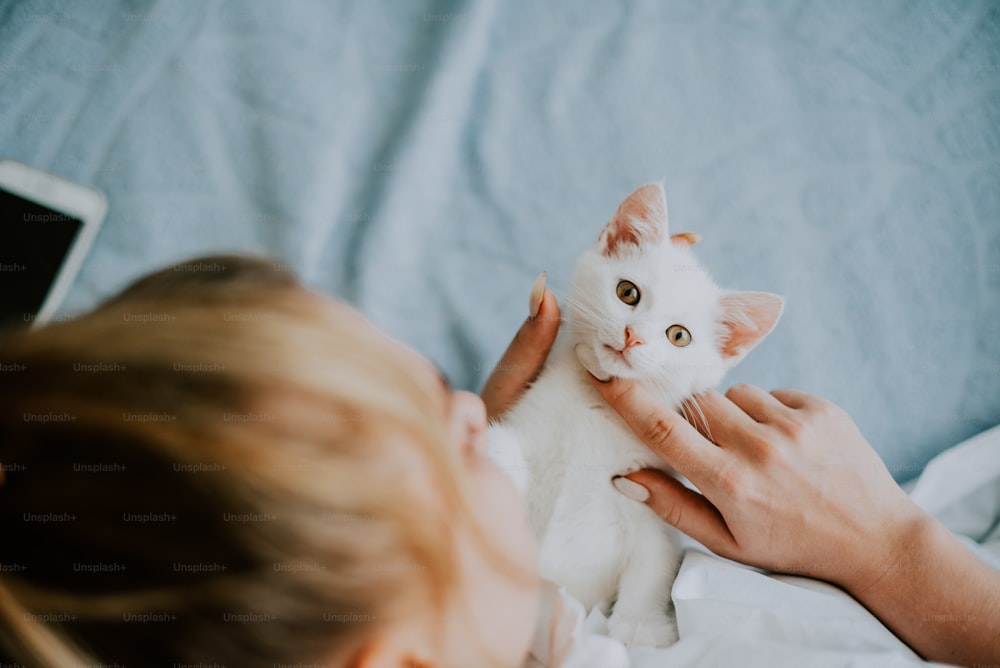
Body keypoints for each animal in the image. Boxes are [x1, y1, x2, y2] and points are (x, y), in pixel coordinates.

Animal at [488, 183, 784, 648]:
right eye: (627, 293)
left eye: (678, 336)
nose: (633, 336)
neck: (597, 410)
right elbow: (505, 450)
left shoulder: (648, 499)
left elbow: (654, 565)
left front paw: (640, 625)